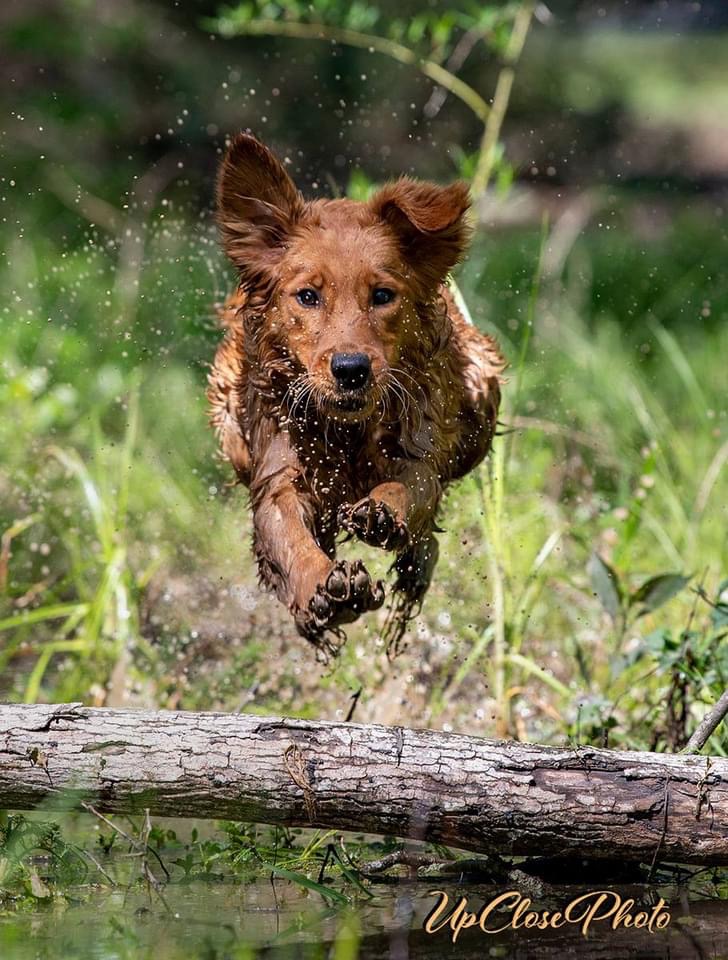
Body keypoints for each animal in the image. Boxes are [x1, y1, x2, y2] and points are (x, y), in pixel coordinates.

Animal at [208, 133, 504, 652]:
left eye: (382, 295)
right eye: (308, 296)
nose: (351, 370)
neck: (346, 433)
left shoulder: (417, 451)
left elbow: (410, 486)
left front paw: (382, 513)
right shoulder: (277, 471)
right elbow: (289, 537)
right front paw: (324, 590)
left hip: (481, 394)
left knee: (429, 536)